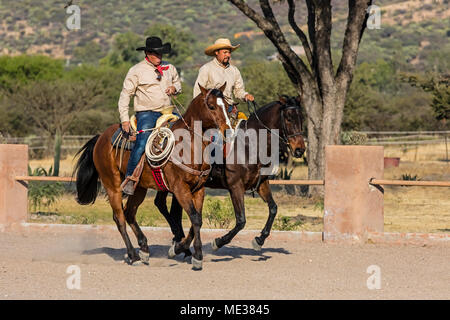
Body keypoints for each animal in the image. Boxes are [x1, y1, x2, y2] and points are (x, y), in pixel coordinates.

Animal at [73, 84, 230, 268]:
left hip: (138, 188)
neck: (188, 145)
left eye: (227, 105)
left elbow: (196, 220)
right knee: (119, 218)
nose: (228, 131)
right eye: (211, 106)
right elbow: (195, 219)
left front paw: (183, 250)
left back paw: (144, 249)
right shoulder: (180, 189)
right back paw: (133, 255)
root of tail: (100, 137)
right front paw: (193, 255)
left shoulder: (198, 189)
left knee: (129, 213)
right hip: (112, 185)